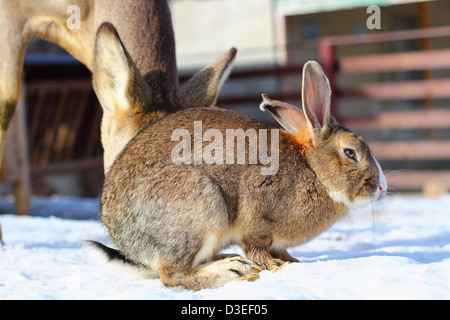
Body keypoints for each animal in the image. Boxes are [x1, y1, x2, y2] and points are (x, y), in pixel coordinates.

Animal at [87, 28, 386, 290]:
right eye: (350, 152)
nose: (382, 188)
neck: (314, 170)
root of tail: (129, 246)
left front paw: (293, 262)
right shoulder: (257, 219)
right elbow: (258, 248)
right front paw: (276, 266)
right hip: (198, 205)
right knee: (172, 274)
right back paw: (233, 269)